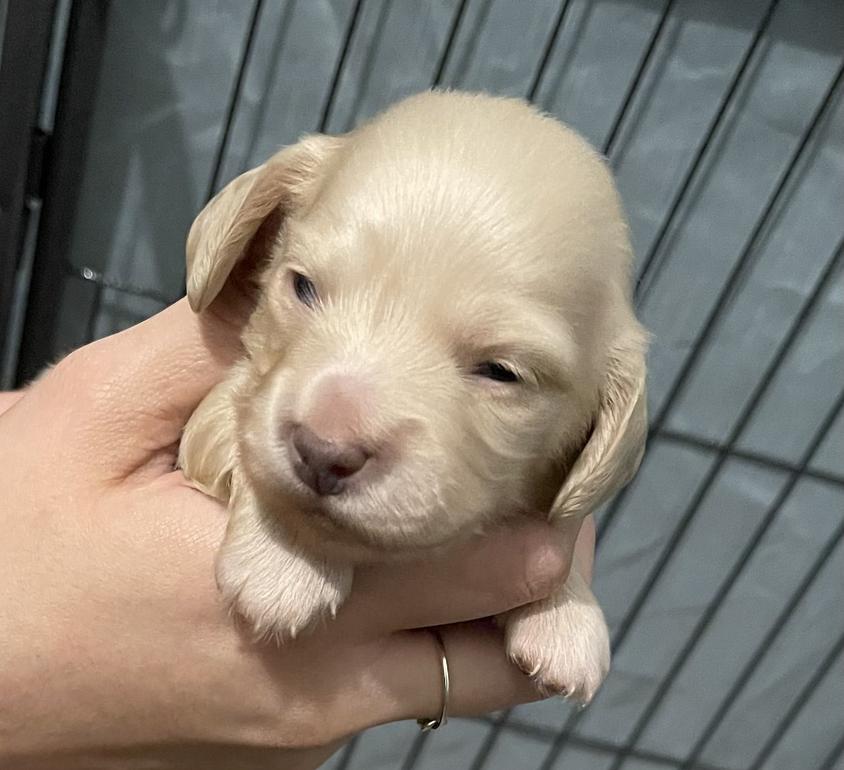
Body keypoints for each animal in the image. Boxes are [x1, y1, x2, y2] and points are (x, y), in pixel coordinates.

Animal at [178, 90, 648, 704]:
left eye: (501, 372)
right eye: (302, 286)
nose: (323, 452)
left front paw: (567, 612)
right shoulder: (224, 407)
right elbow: (253, 458)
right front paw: (286, 560)